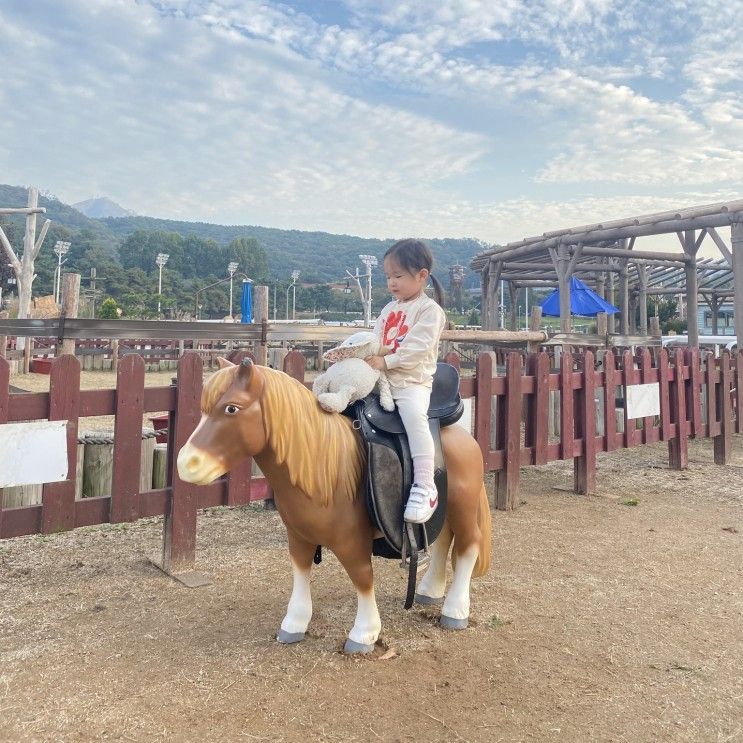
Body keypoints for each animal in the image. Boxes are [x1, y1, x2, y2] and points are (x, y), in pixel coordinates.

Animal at [177, 358, 492, 652]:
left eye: (232, 408)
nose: (186, 463)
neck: (322, 469)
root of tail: (463, 435)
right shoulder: (299, 536)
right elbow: (300, 571)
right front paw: (294, 623)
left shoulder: (351, 541)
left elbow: (362, 577)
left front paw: (364, 634)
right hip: (448, 508)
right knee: (444, 539)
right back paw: (429, 590)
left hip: (464, 507)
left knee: (468, 545)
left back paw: (455, 610)